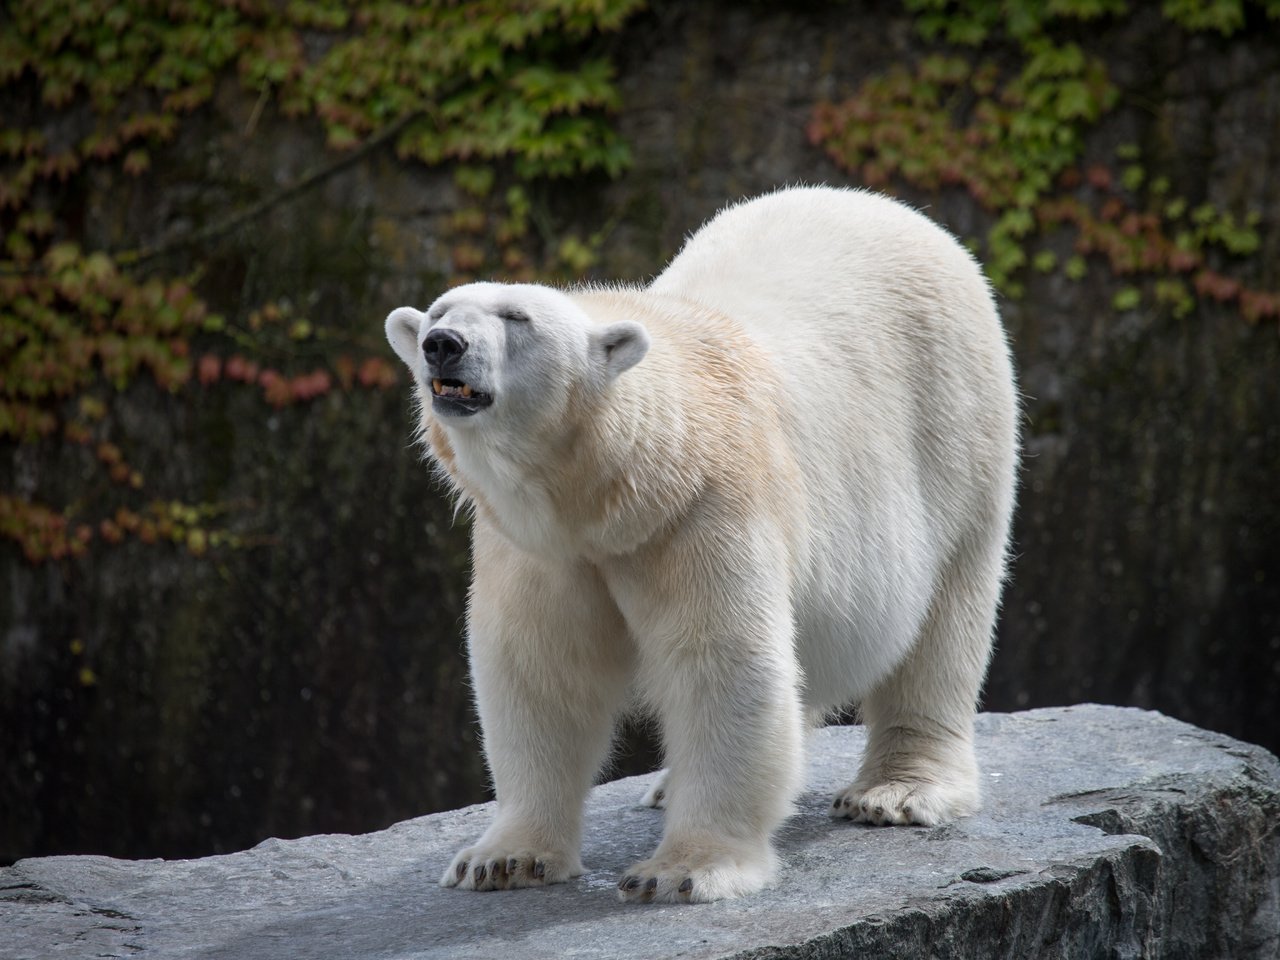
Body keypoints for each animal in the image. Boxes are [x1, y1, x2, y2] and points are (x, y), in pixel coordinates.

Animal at [384, 184, 1013, 906]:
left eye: (517, 317)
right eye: (437, 311)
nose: (442, 344)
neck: (610, 492)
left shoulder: (700, 511)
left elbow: (720, 661)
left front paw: (682, 871)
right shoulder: (539, 545)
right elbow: (540, 669)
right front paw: (502, 859)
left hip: (955, 423)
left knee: (946, 612)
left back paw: (898, 790)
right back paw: (670, 785)